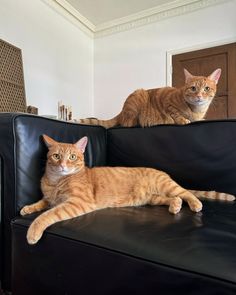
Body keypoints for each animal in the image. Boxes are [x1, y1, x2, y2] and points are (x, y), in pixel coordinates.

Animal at [20, 135, 234, 245]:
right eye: (56, 156)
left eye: (72, 157)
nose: (63, 165)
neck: (56, 181)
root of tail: (162, 172)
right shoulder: (50, 199)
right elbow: (41, 203)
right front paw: (27, 208)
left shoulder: (77, 202)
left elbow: (47, 215)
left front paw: (33, 231)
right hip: (154, 198)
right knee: (175, 198)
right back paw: (174, 206)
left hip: (167, 186)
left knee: (186, 193)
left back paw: (195, 204)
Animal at [77, 68, 221, 128]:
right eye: (193, 88)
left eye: (206, 89)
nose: (199, 96)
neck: (196, 110)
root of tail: (121, 111)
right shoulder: (168, 102)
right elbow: (176, 114)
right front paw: (182, 120)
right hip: (138, 96)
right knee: (127, 123)